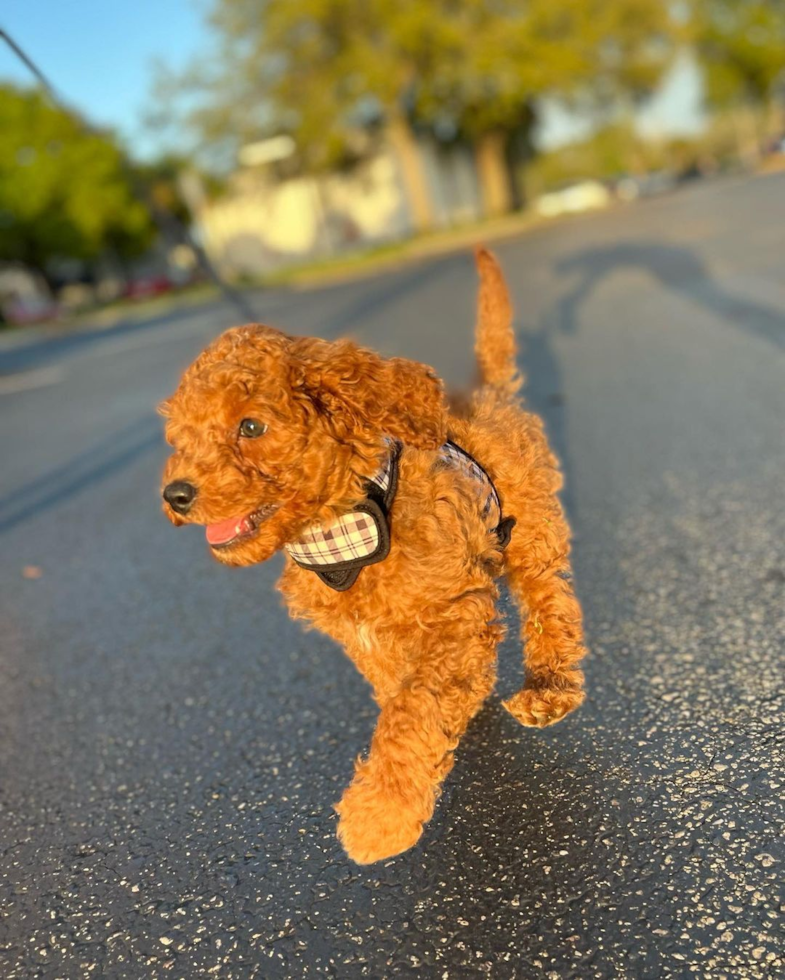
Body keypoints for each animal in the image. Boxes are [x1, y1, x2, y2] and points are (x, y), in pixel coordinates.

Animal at [161, 249, 588, 860]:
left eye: (251, 425)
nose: (176, 494)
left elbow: (413, 710)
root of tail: (489, 393)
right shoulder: (364, 635)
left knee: (550, 600)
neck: (343, 526)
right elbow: (403, 693)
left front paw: (380, 816)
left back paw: (549, 688)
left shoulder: (453, 613)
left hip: (530, 531)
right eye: (178, 437)